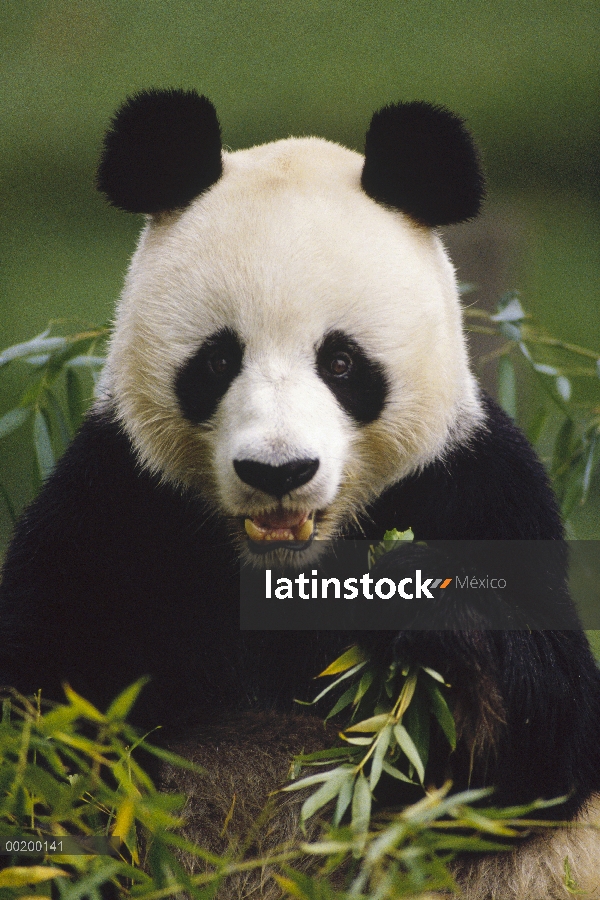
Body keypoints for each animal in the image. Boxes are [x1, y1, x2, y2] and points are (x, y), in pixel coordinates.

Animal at [1, 89, 600, 892]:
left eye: (341, 362)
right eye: (218, 360)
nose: (278, 472)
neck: (286, 572)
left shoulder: (477, 490)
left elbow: (543, 746)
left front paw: (427, 618)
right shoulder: (116, 505)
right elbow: (46, 724)